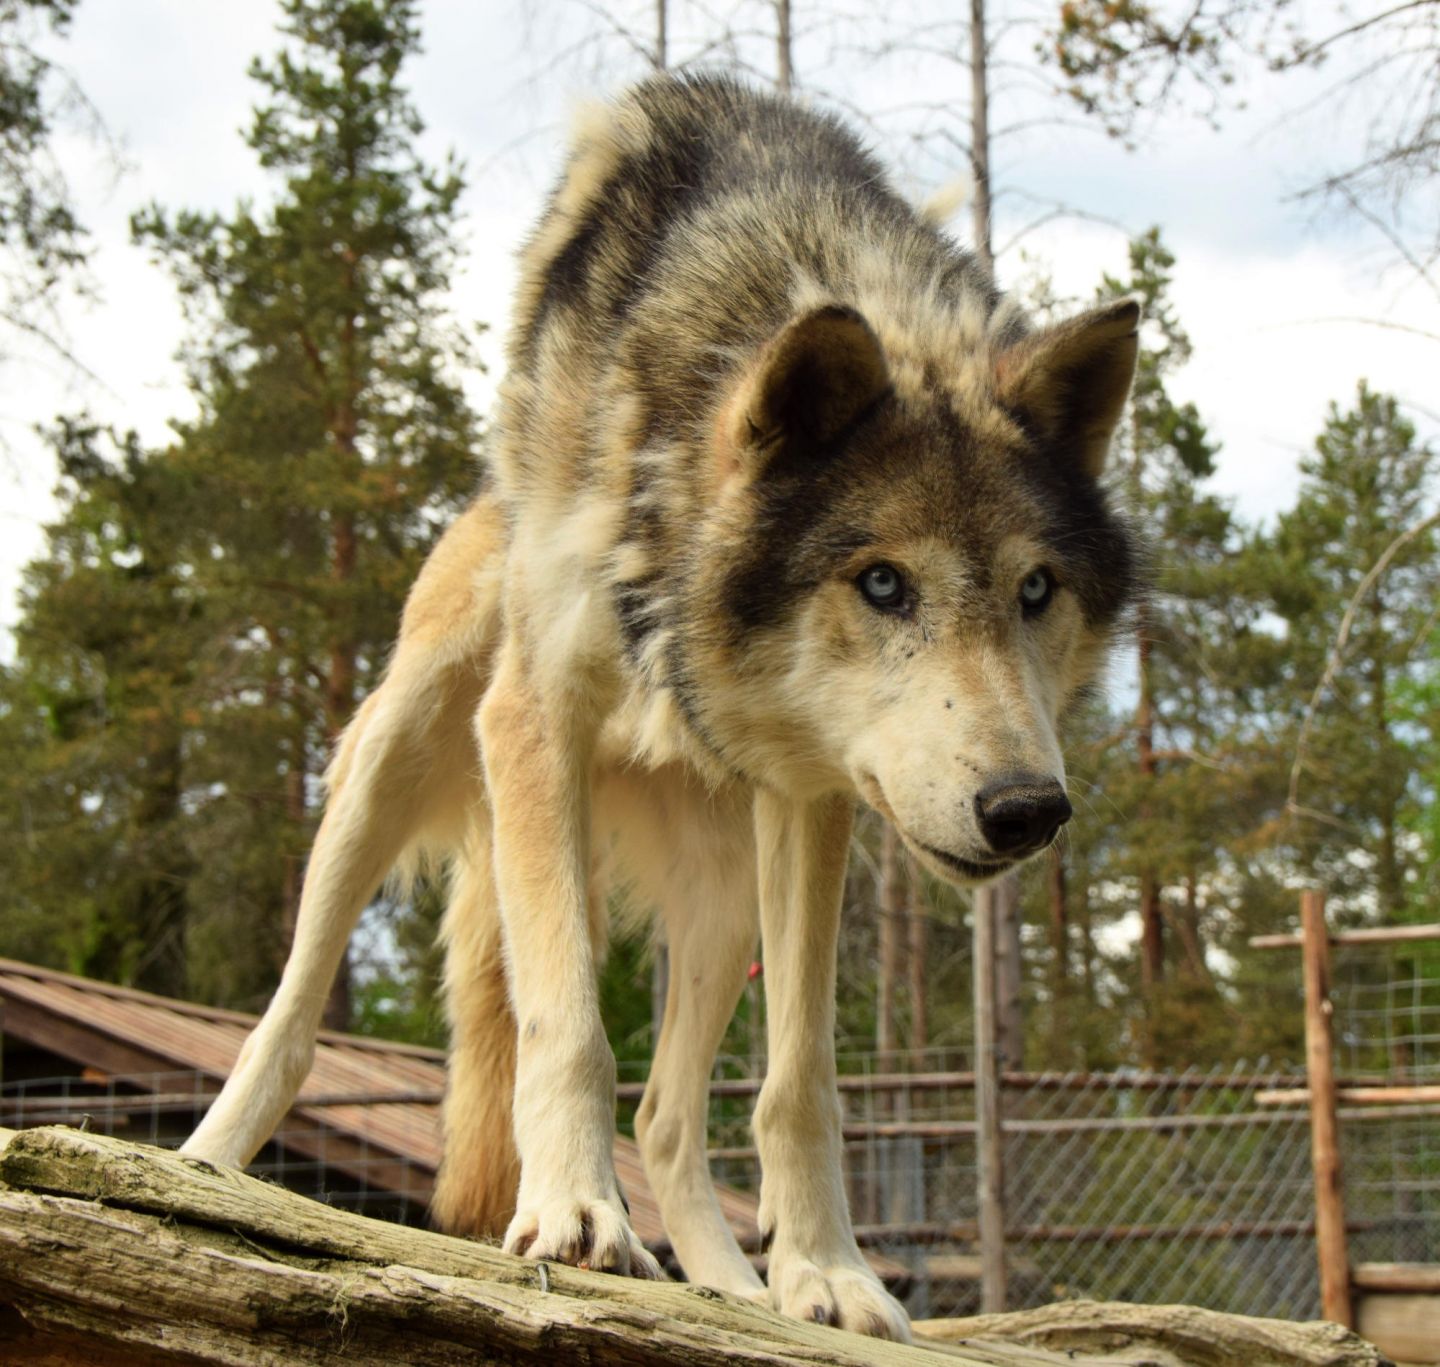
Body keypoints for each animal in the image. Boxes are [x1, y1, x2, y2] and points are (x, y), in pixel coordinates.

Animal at [185, 69, 1140, 1336]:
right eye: (883, 581)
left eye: (1036, 589)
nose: (1028, 808)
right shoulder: (533, 718)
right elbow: (569, 1026)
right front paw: (577, 1213)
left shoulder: (811, 795)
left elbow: (798, 1083)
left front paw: (828, 1273)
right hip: (394, 764)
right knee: (288, 1021)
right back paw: (200, 1169)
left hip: (727, 901)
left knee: (671, 1118)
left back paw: (734, 1286)